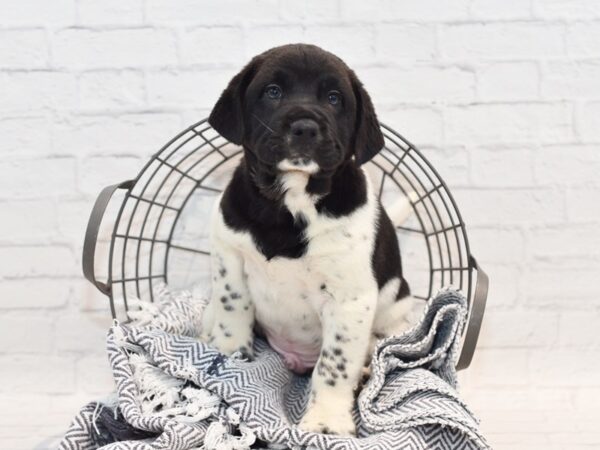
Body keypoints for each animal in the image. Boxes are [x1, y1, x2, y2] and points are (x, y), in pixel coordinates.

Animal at [202, 44, 418, 434]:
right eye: (273, 91)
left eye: (334, 98)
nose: (305, 127)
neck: (292, 202)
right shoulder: (228, 255)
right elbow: (232, 310)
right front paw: (228, 356)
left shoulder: (348, 301)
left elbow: (334, 365)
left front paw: (327, 420)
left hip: (394, 316)